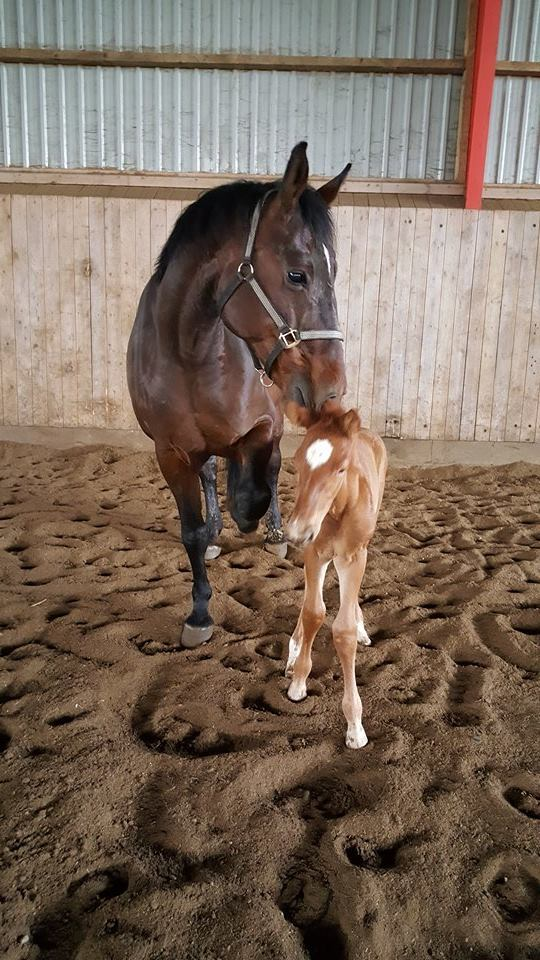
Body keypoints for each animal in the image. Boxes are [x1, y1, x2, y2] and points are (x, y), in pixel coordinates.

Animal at [129, 142, 352, 648]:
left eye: (334, 272)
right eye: (297, 274)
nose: (332, 387)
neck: (192, 351)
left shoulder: (264, 426)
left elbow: (255, 485)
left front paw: (257, 521)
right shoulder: (169, 452)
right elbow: (191, 529)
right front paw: (199, 613)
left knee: (266, 472)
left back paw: (273, 533)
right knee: (211, 474)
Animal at [284, 408, 386, 748]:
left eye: (341, 468)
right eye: (296, 462)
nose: (295, 532)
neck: (339, 509)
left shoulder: (353, 557)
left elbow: (342, 630)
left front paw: (355, 726)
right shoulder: (314, 552)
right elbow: (313, 612)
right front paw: (298, 681)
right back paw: (294, 647)